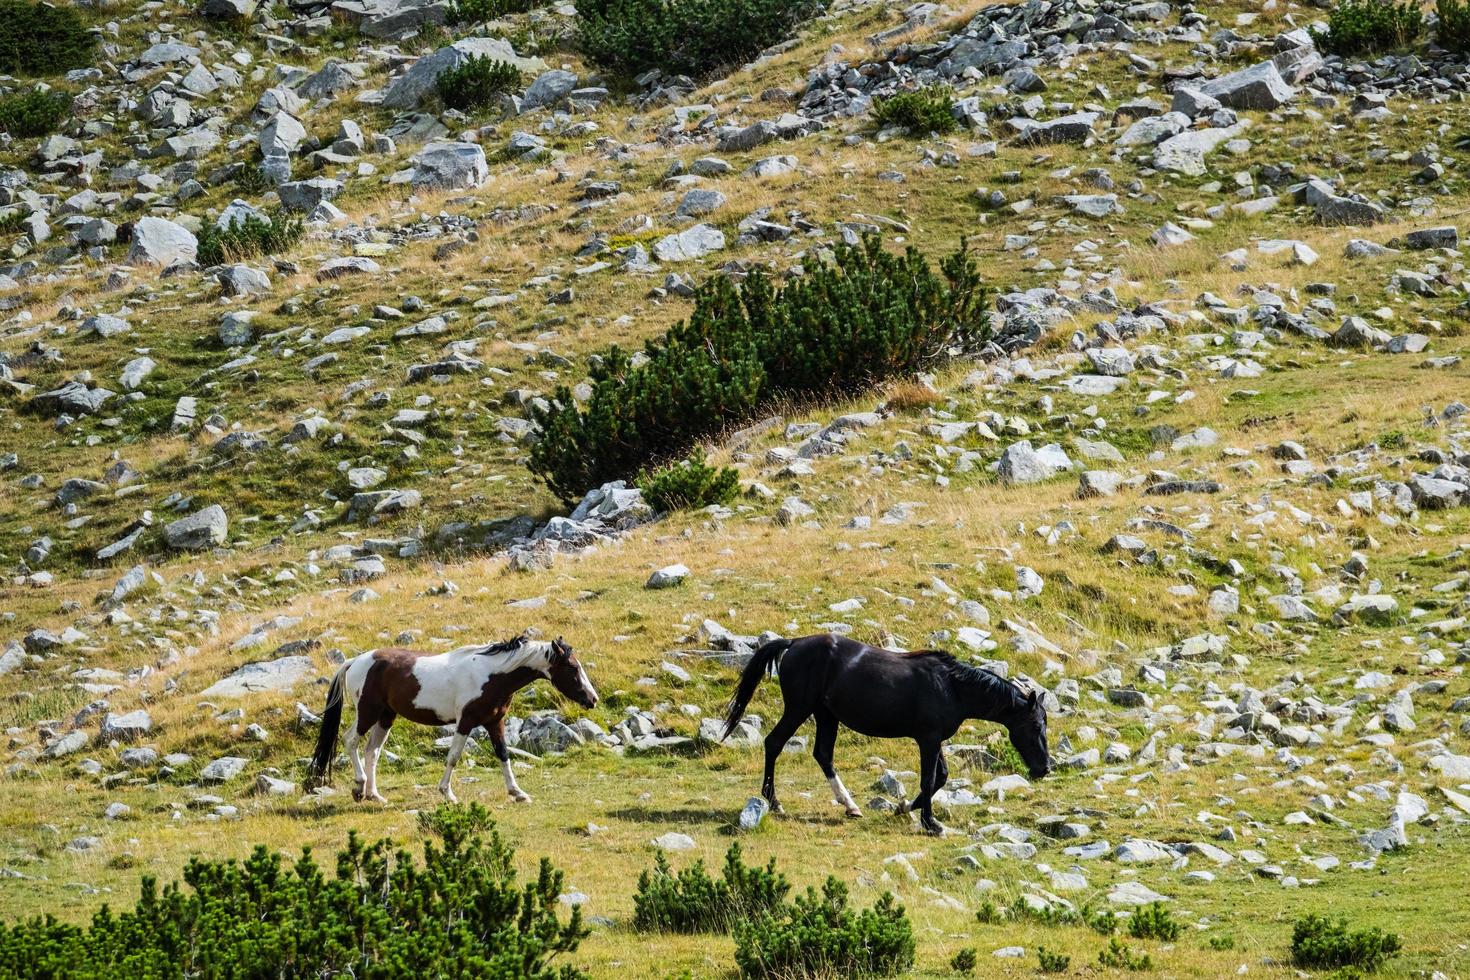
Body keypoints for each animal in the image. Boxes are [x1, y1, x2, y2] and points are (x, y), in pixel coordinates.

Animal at [307, 637, 599, 805]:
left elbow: (503, 755)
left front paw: (518, 793)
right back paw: (358, 787)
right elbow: (453, 757)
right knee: (350, 741)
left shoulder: (495, 722)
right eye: (572, 667)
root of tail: (356, 660)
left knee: (372, 751)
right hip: (368, 712)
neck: (491, 675)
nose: (592, 699)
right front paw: (447, 793)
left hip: (386, 717)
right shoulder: (465, 721)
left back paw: (374, 795)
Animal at [720, 631, 1046, 834]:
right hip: (799, 708)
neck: (951, 687)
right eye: (1034, 726)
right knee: (774, 743)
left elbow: (941, 777)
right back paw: (774, 802)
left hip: (826, 715)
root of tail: (794, 643)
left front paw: (903, 808)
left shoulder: (935, 739)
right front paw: (931, 824)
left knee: (823, 755)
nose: (1044, 768)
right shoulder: (928, 739)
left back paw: (850, 806)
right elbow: (930, 779)